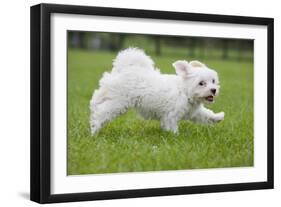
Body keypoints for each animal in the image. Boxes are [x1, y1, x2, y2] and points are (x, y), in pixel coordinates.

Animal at [89, 47, 223, 134]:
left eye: (213, 81)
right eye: (201, 83)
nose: (213, 90)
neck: (185, 92)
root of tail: (127, 68)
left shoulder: (194, 112)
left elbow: (206, 115)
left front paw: (218, 117)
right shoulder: (170, 116)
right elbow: (172, 127)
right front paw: (176, 136)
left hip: (111, 93)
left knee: (97, 97)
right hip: (118, 102)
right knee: (102, 112)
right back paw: (95, 129)